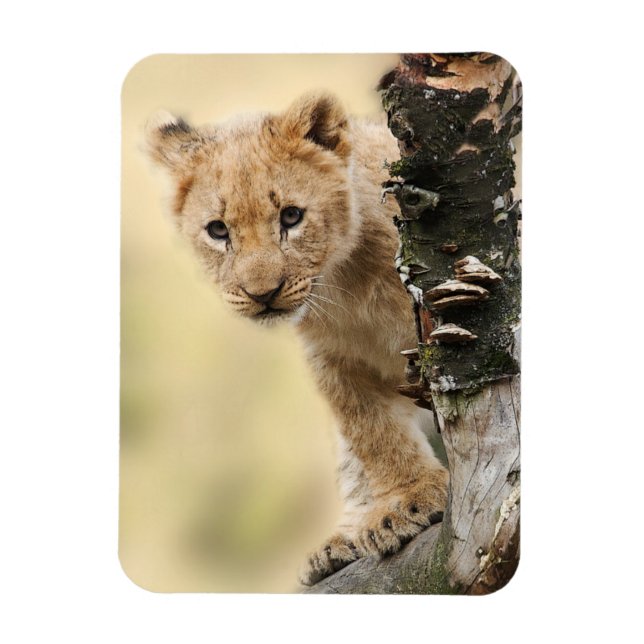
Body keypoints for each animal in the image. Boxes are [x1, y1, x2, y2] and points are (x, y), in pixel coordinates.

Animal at [146, 92, 448, 586]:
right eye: (218, 230)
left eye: (291, 216)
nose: (262, 295)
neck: (345, 282)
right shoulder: (332, 360)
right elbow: (372, 433)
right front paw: (404, 500)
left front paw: (412, 502)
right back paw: (341, 541)